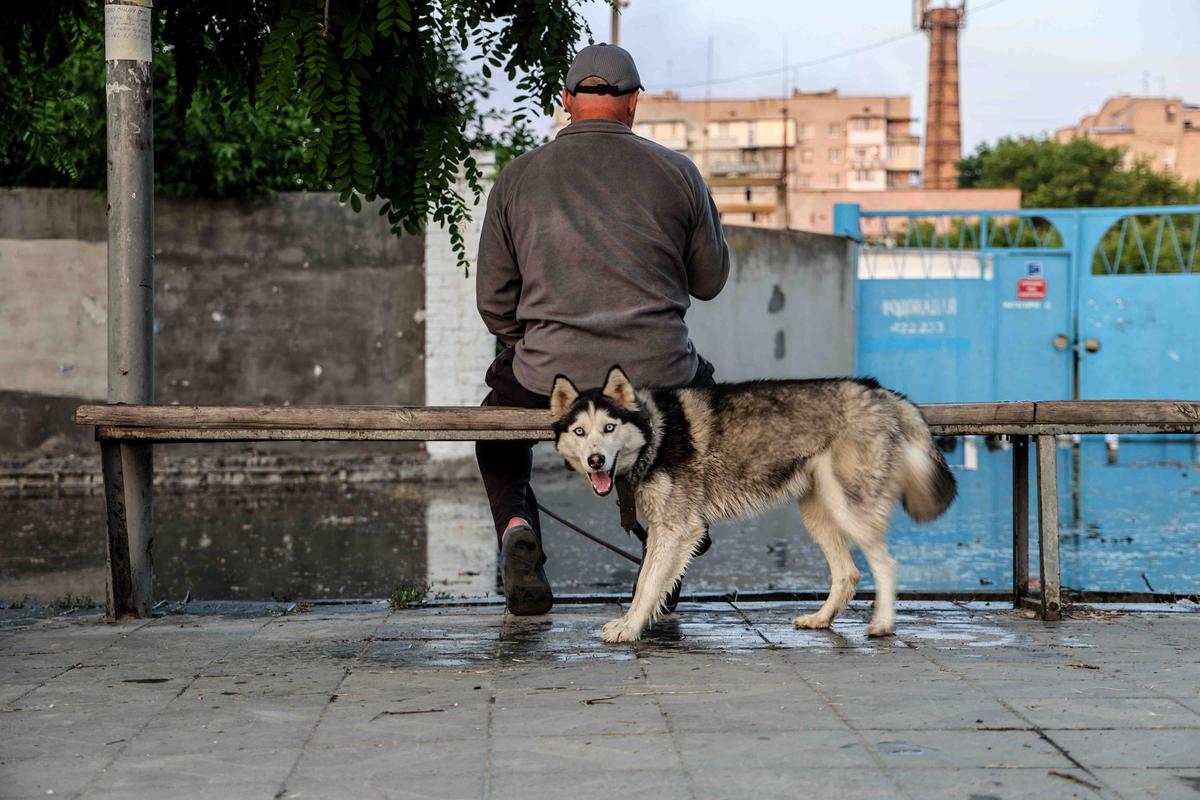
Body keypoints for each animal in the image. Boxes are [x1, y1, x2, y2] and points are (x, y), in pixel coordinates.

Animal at [549, 367, 955, 642]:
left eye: (609, 428)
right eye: (580, 432)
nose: (596, 461)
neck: (655, 435)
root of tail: (880, 390)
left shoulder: (678, 529)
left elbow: (648, 586)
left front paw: (630, 628)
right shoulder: (662, 531)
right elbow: (646, 583)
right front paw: (631, 622)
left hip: (850, 510)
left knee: (885, 564)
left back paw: (882, 624)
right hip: (818, 514)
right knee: (848, 573)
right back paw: (821, 619)